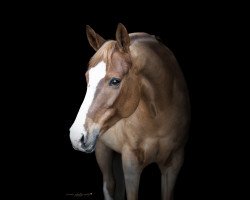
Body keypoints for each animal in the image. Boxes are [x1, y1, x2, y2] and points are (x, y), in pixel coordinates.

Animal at [69, 22, 190, 199]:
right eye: (87, 78)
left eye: (115, 81)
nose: (76, 136)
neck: (159, 119)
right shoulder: (131, 165)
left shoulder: (173, 165)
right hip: (103, 150)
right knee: (109, 185)